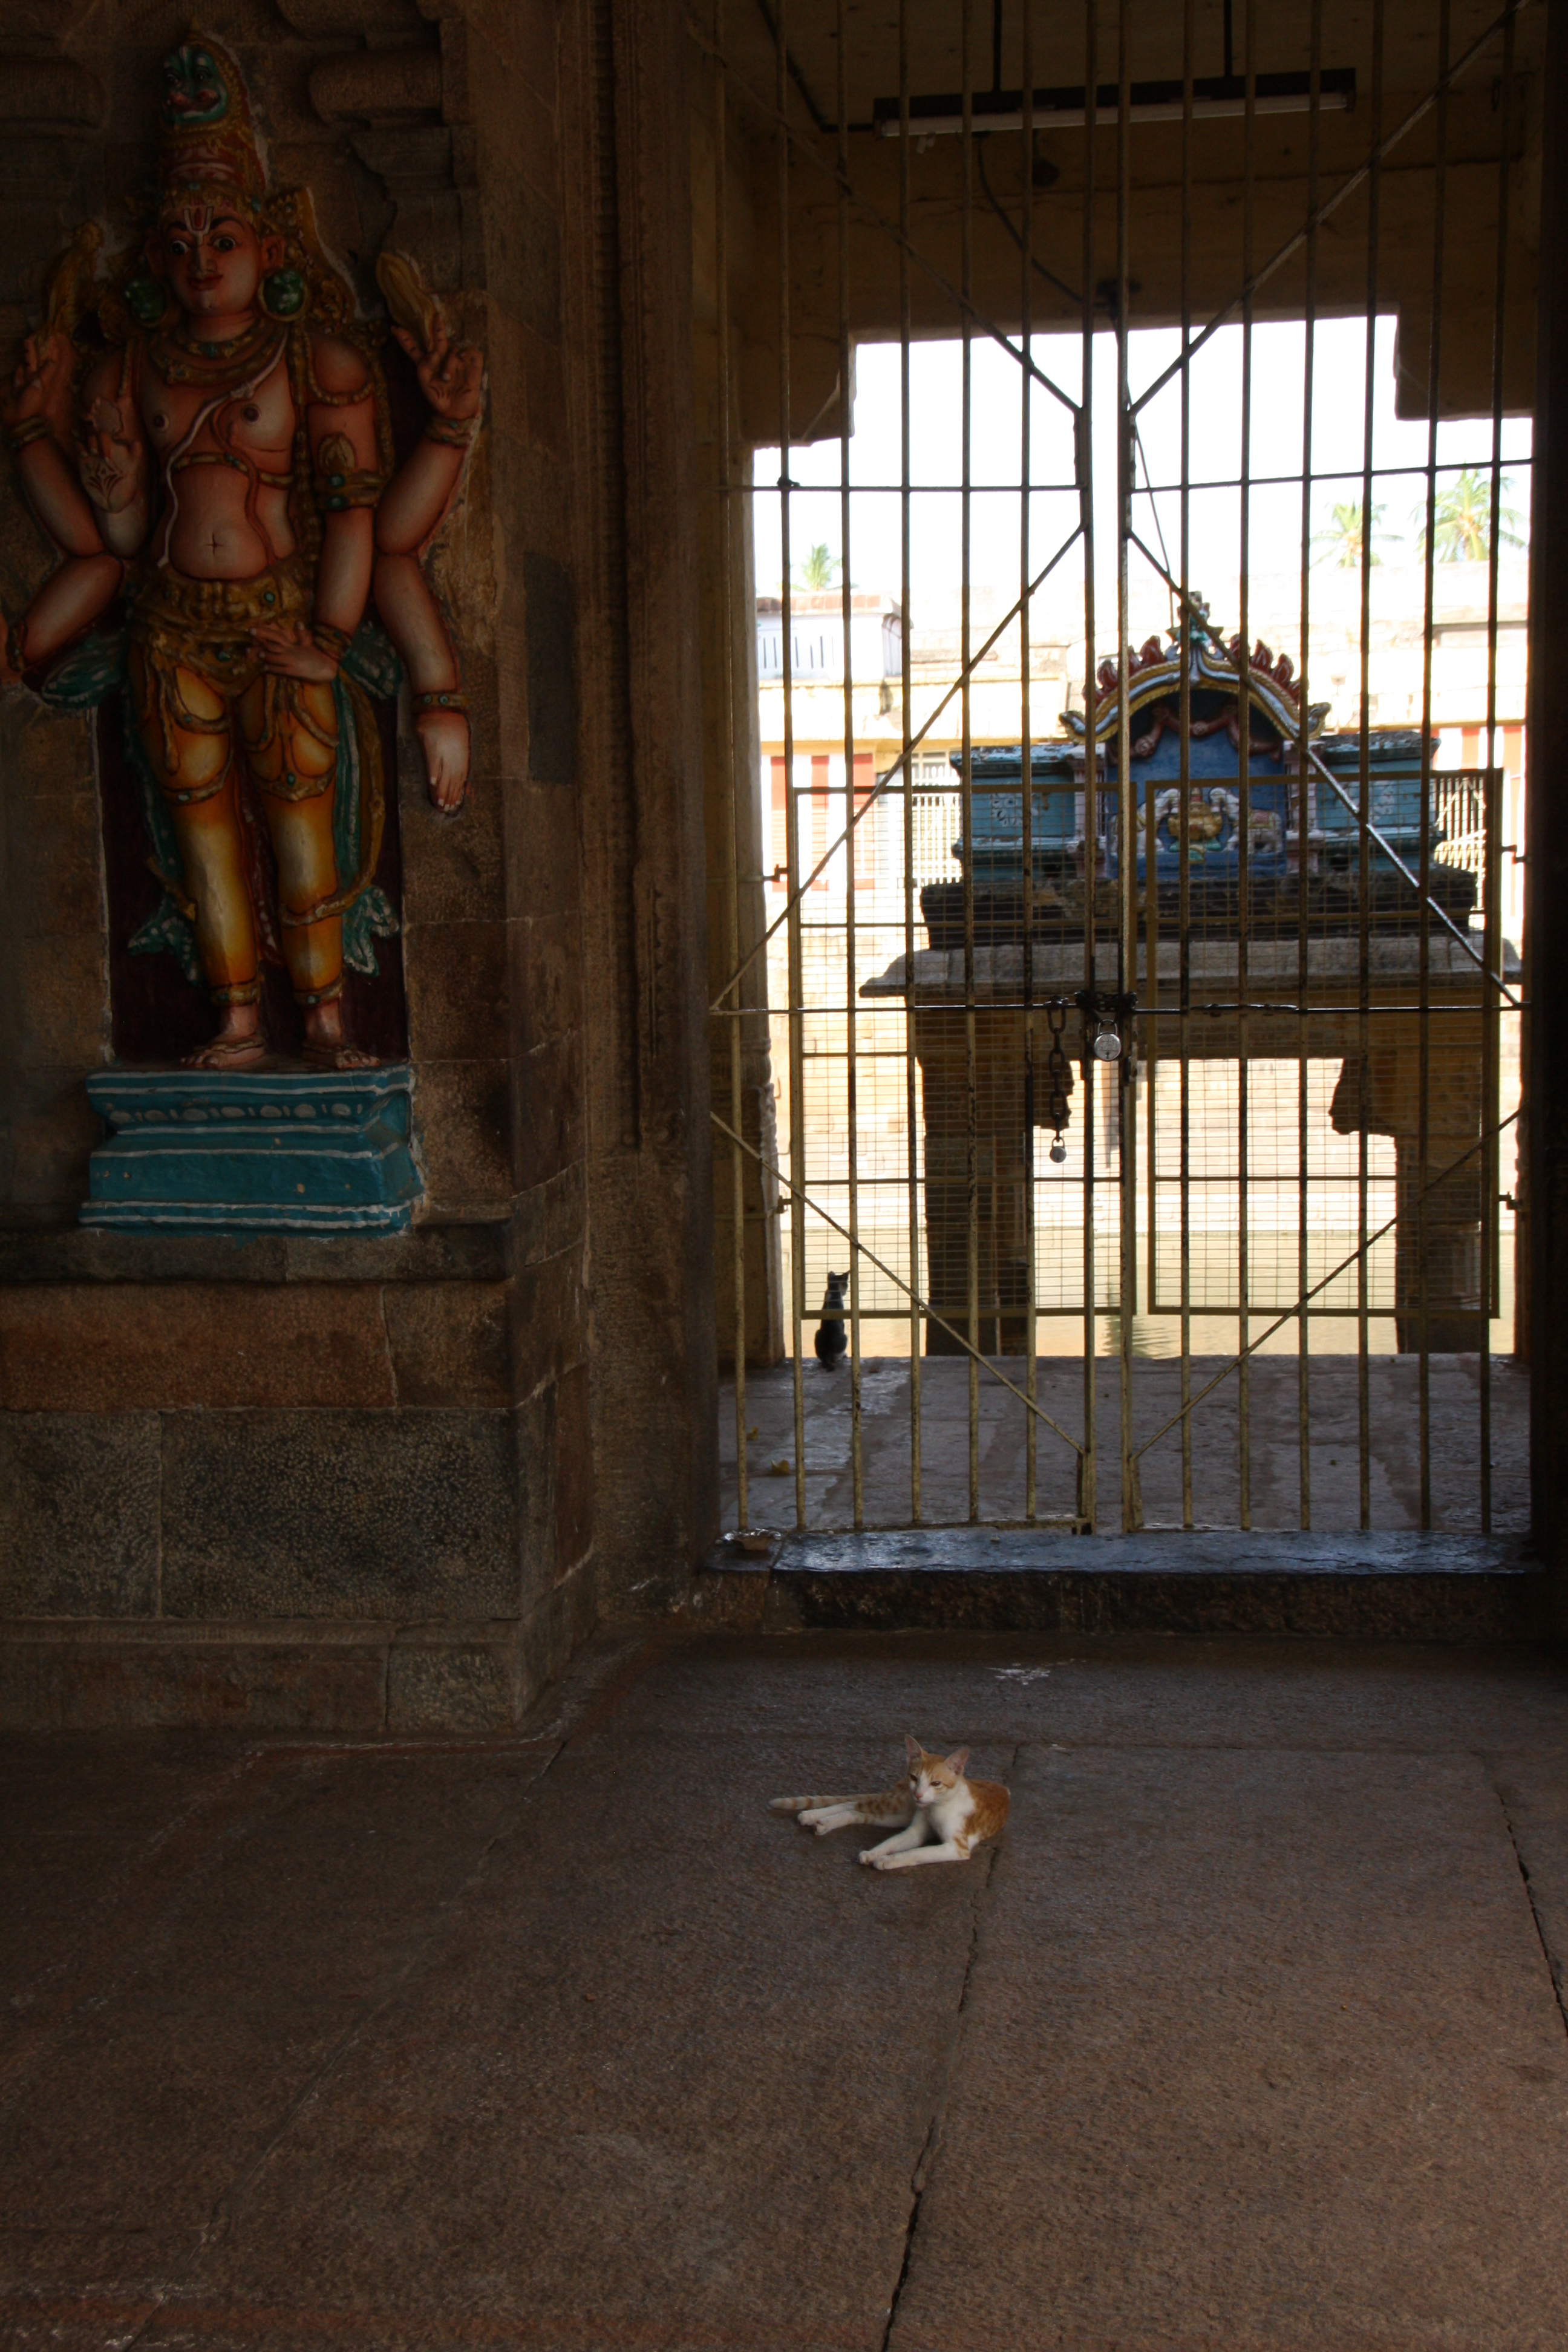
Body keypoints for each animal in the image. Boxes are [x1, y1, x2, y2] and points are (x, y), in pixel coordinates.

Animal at [770, 1734, 1009, 1870]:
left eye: (936, 1783)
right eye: (915, 1778)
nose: (919, 1795)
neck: (935, 1807)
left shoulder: (957, 1848)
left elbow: (916, 1853)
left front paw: (884, 1859)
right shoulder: (916, 1831)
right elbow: (893, 1843)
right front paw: (875, 1854)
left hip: (898, 1815)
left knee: (858, 1811)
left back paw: (822, 1822)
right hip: (899, 1805)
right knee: (855, 1804)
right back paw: (813, 1817)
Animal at [814, 1271, 849, 1368]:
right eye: (847, 1285)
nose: (846, 1292)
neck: (832, 1290)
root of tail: (827, 1356)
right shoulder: (842, 1321)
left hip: (818, 1332)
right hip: (845, 1337)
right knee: (836, 1358)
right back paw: (842, 1356)